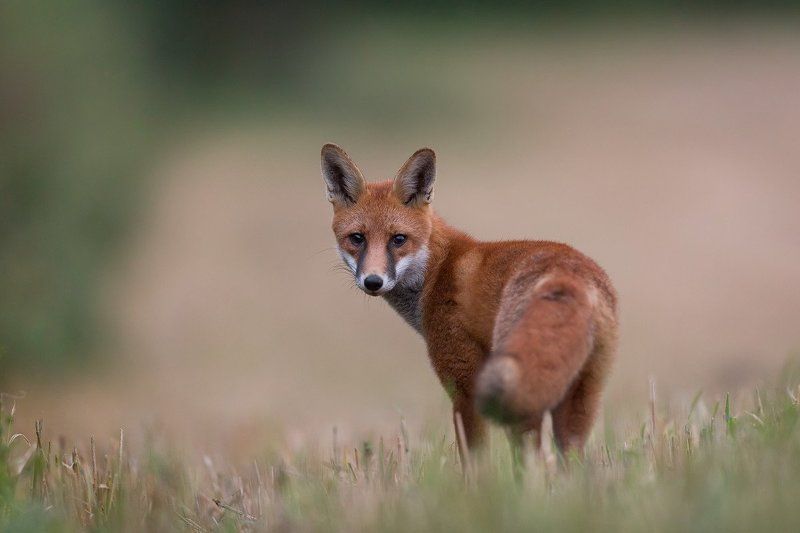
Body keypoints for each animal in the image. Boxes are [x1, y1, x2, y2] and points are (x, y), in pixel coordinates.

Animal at [321, 143, 618, 459]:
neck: (438, 268)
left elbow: (474, 460)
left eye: (398, 239)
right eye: (357, 238)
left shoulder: (463, 382)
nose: (373, 281)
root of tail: (568, 274)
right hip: (582, 394)